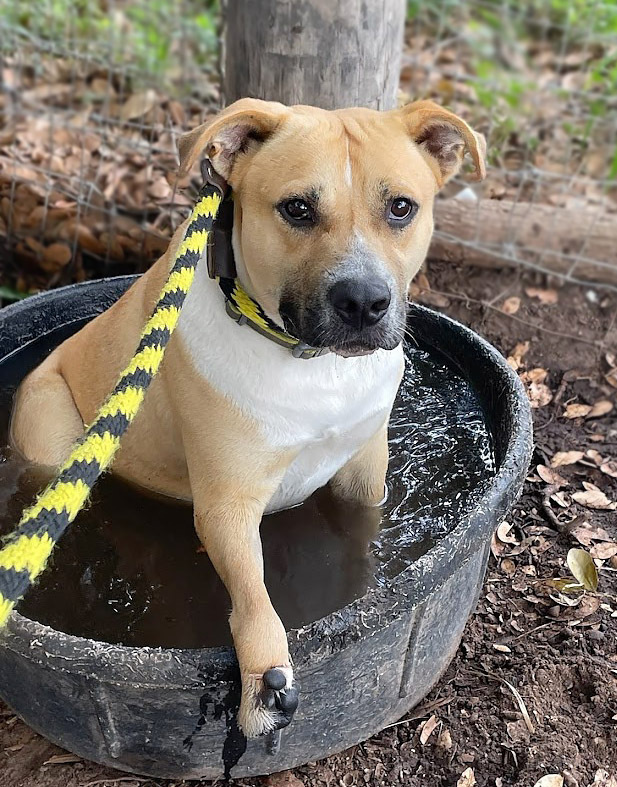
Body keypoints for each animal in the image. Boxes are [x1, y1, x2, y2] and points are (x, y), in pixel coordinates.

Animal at [7, 98, 484, 740]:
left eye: (401, 207)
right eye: (297, 208)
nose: (363, 302)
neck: (309, 363)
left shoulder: (364, 467)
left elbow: (360, 541)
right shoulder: (226, 503)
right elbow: (254, 593)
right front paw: (265, 675)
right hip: (51, 424)